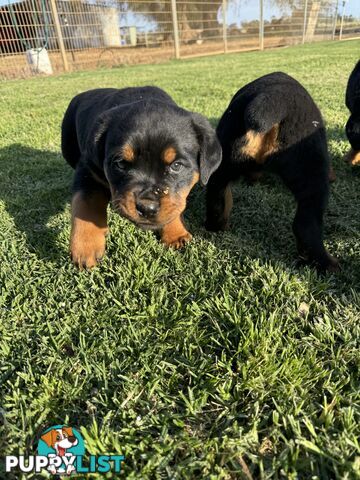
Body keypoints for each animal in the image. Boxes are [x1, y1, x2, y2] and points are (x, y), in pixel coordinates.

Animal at [60, 85, 221, 266]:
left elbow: (174, 203)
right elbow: (85, 203)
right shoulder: (87, 168)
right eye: (121, 164)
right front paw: (85, 247)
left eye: (176, 166)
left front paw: (175, 234)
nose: (146, 208)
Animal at [205, 72, 338, 272]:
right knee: (307, 225)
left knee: (217, 200)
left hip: (222, 165)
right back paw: (328, 264)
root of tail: (274, 97)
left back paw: (217, 226)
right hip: (312, 169)